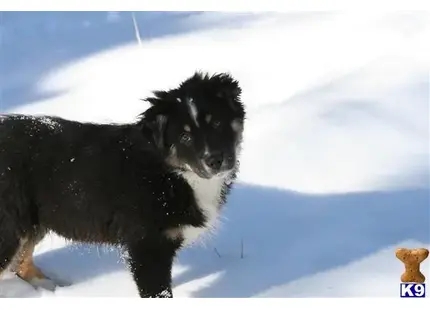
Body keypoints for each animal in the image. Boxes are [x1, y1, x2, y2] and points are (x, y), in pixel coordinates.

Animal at [0, 71, 245, 296]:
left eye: (217, 123)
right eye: (184, 136)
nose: (215, 160)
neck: (173, 173)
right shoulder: (147, 245)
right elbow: (158, 292)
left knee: (21, 263)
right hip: (11, 226)